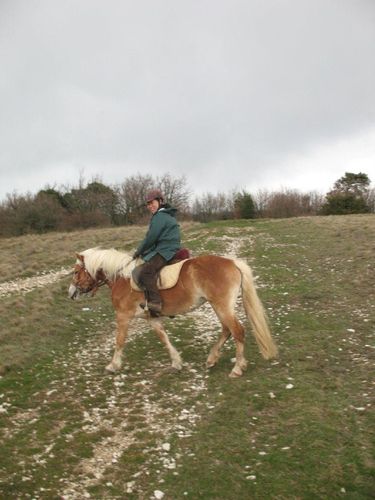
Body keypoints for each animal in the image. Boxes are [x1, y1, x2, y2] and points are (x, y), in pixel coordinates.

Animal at [68, 248, 280, 376]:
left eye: (76, 272)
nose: (71, 294)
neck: (122, 278)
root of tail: (232, 263)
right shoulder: (151, 318)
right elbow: (164, 338)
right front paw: (176, 362)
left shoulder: (123, 316)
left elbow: (119, 341)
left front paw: (113, 365)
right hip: (218, 306)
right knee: (227, 330)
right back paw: (211, 359)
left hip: (222, 306)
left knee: (237, 331)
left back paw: (237, 368)